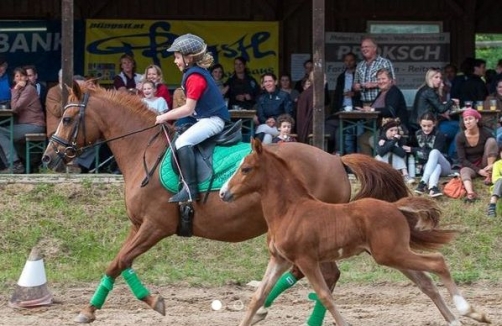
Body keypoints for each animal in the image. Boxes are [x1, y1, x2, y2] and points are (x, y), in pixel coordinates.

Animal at [42, 85, 412, 324]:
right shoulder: (139, 226)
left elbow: (118, 262)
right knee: (313, 273)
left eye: (66, 119)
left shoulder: (155, 226)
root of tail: (336, 159)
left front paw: (99, 309)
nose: (48, 157)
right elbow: (119, 263)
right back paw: (267, 308)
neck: (142, 151)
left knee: (325, 274)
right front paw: (124, 304)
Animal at [220, 139, 490, 326]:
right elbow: (257, 296)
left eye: (246, 169)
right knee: (426, 281)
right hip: (393, 255)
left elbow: (325, 296)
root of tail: (394, 206)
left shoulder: (306, 259)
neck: (289, 210)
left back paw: (469, 311)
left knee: (438, 261)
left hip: (390, 254)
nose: (223, 193)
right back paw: (456, 320)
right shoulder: (280, 259)